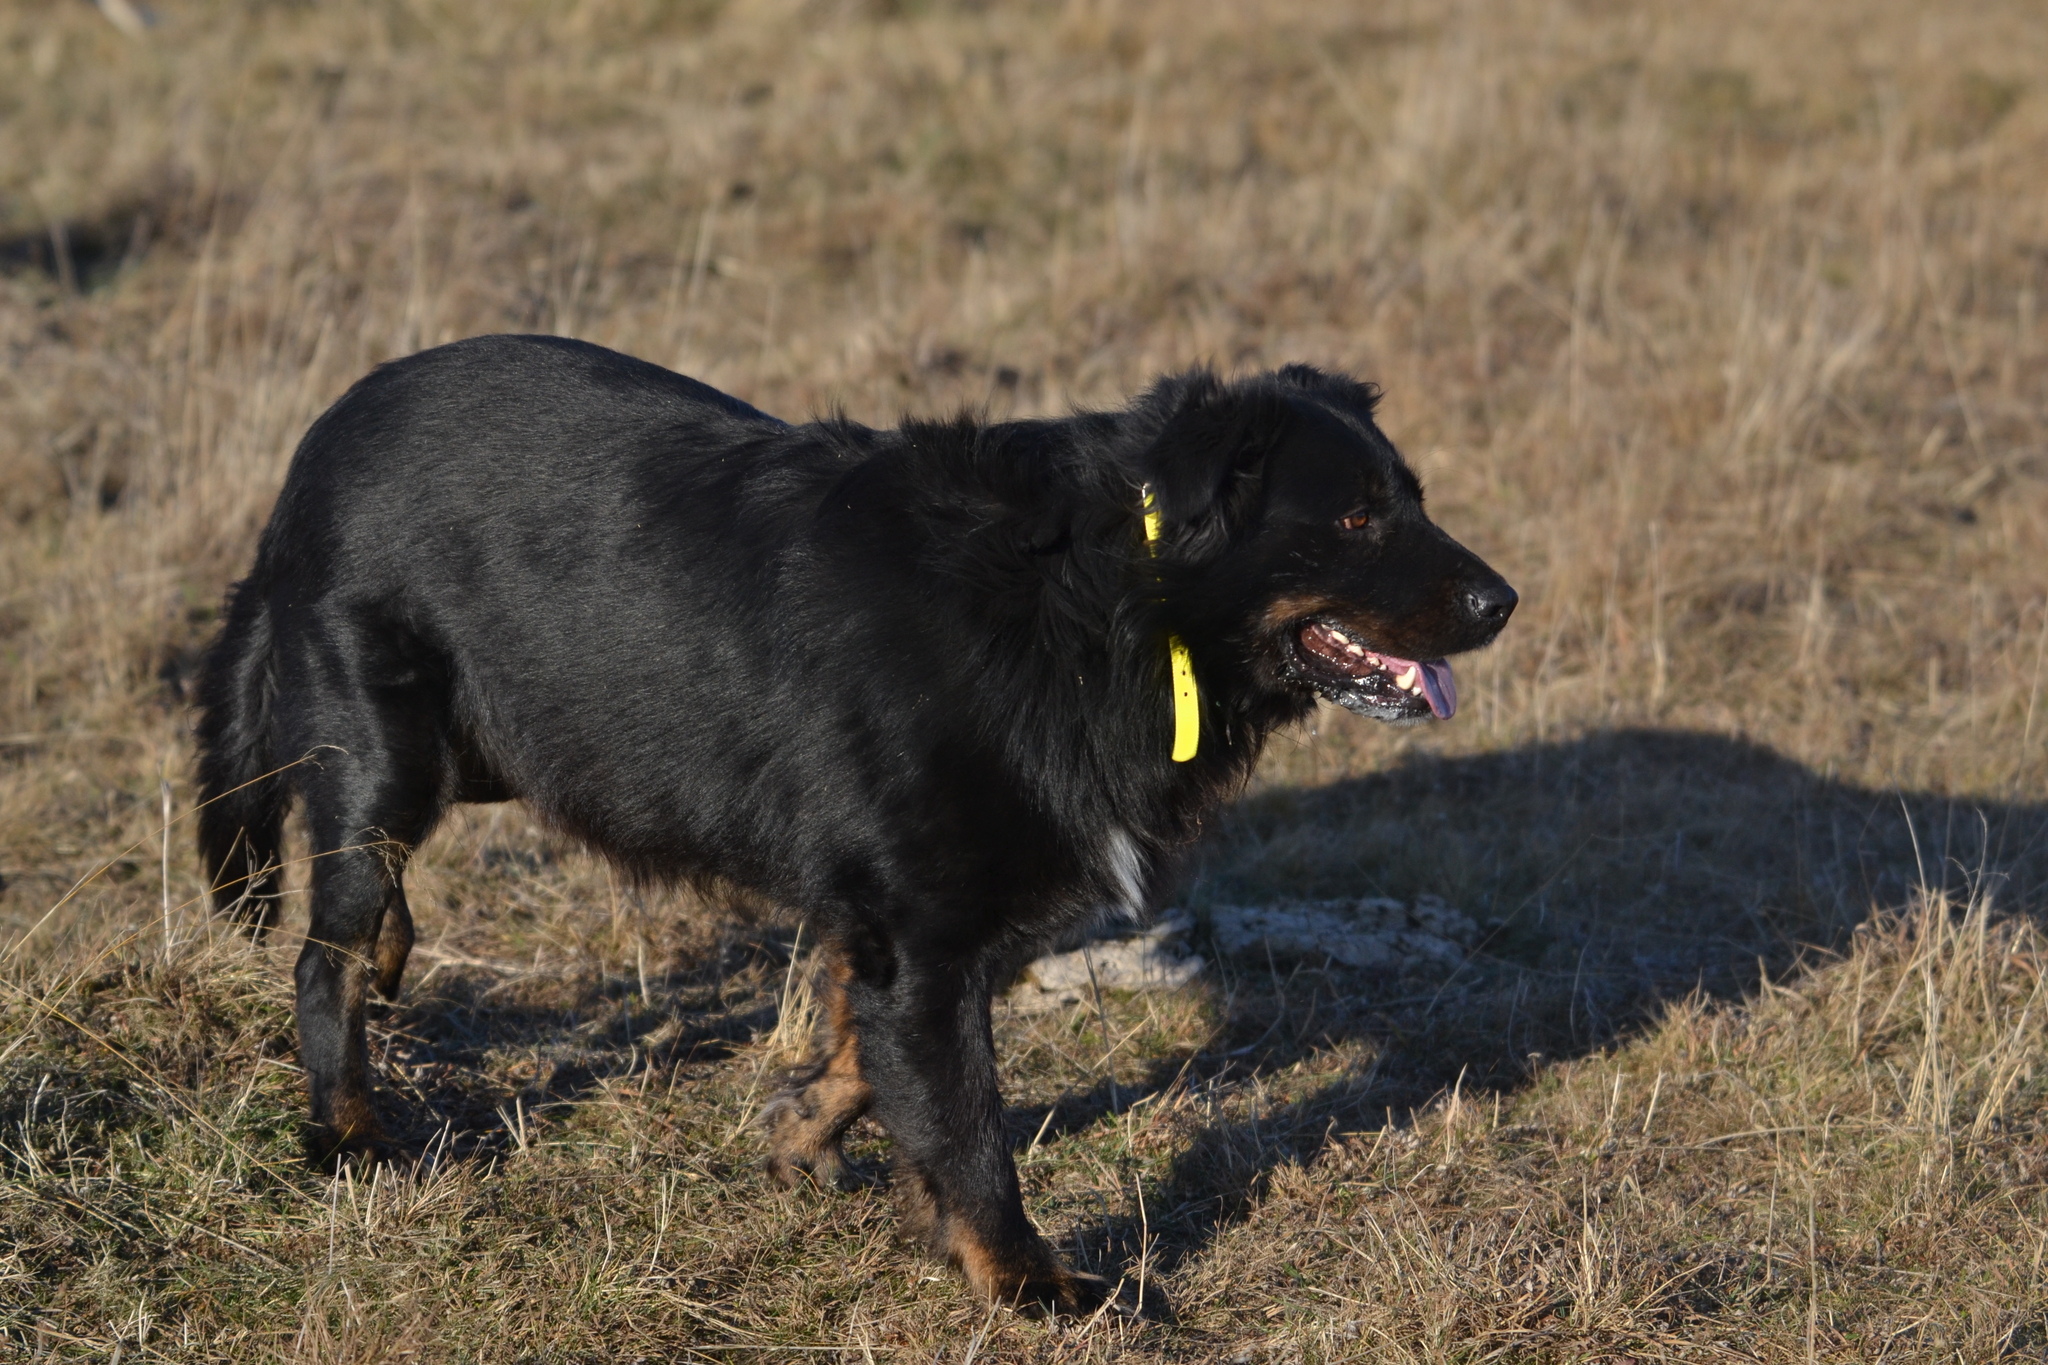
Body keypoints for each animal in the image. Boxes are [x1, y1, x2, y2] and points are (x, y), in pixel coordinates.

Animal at [192, 333, 1515, 1309]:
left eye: (1413, 499)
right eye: (1352, 519)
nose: (1503, 602)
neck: (1103, 595)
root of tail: (316, 448)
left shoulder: (908, 904)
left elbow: (860, 1053)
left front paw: (795, 1136)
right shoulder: (922, 927)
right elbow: (965, 1121)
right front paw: (1030, 1287)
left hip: (497, 744)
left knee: (369, 906)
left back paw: (395, 957)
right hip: (388, 747)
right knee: (323, 950)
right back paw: (351, 1133)